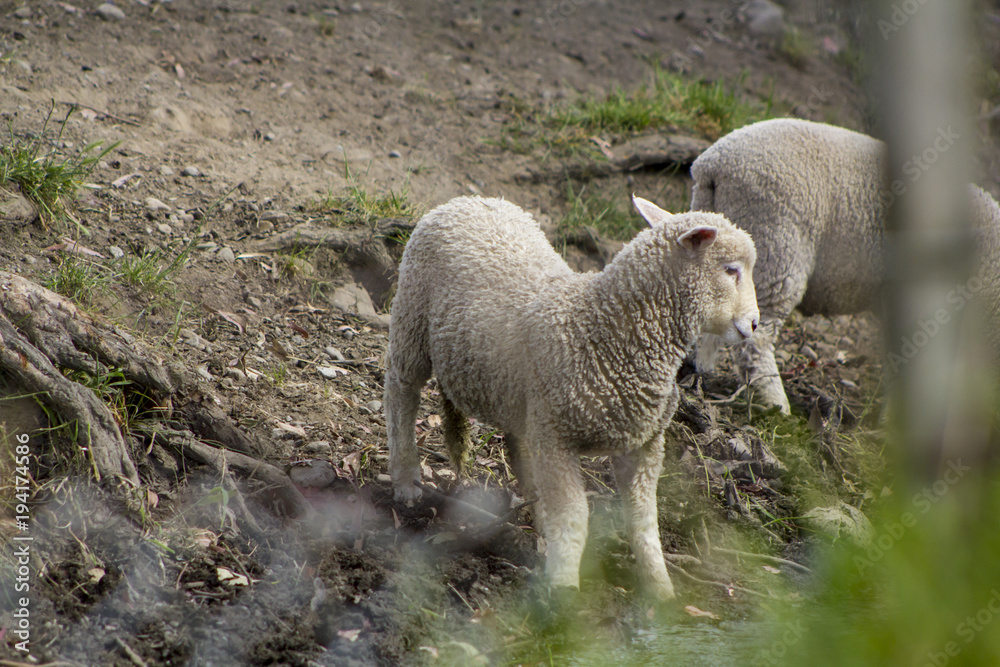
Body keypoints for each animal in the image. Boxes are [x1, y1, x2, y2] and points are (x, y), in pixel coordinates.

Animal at [383, 194, 758, 600]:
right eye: (731, 269)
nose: (754, 324)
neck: (604, 331)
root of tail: (470, 200)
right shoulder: (557, 438)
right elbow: (574, 519)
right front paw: (564, 590)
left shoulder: (641, 445)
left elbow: (643, 522)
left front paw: (660, 592)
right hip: (411, 317)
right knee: (401, 391)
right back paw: (406, 481)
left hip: (520, 394)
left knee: (520, 445)